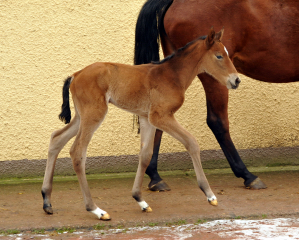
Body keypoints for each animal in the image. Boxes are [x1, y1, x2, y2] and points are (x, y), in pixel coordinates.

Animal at [41, 27, 241, 220]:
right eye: (219, 56)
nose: (236, 80)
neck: (172, 75)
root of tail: (75, 75)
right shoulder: (160, 116)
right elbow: (191, 142)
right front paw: (210, 195)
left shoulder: (147, 118)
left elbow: (145, 155)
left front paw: (140, 200)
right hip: (94, 113)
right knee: (77, 152)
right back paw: (96, 210)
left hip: (81, 116)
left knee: (56, 138)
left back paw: (47, 201)